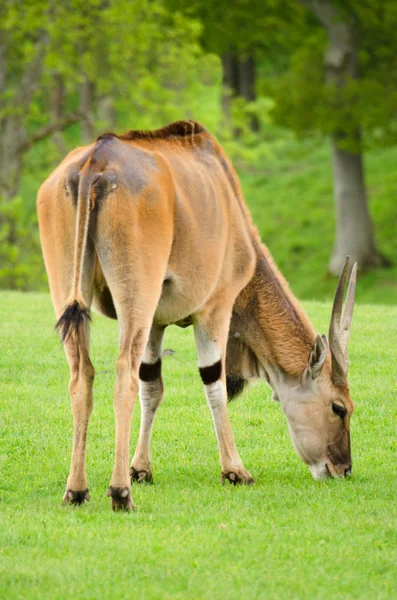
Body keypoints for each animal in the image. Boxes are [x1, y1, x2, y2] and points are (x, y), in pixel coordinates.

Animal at [37, 120, 356, 510]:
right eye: (339, 407)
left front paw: (141, 469)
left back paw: (77, 490)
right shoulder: (215, 309)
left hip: (70, 294)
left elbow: (153, 386)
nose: (343, 469)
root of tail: (96, 162)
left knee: (82, 375)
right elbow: (213, 384)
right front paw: (235, 471)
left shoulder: (157, 322)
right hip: (136, 299)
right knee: (123, 374)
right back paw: (120, 493)